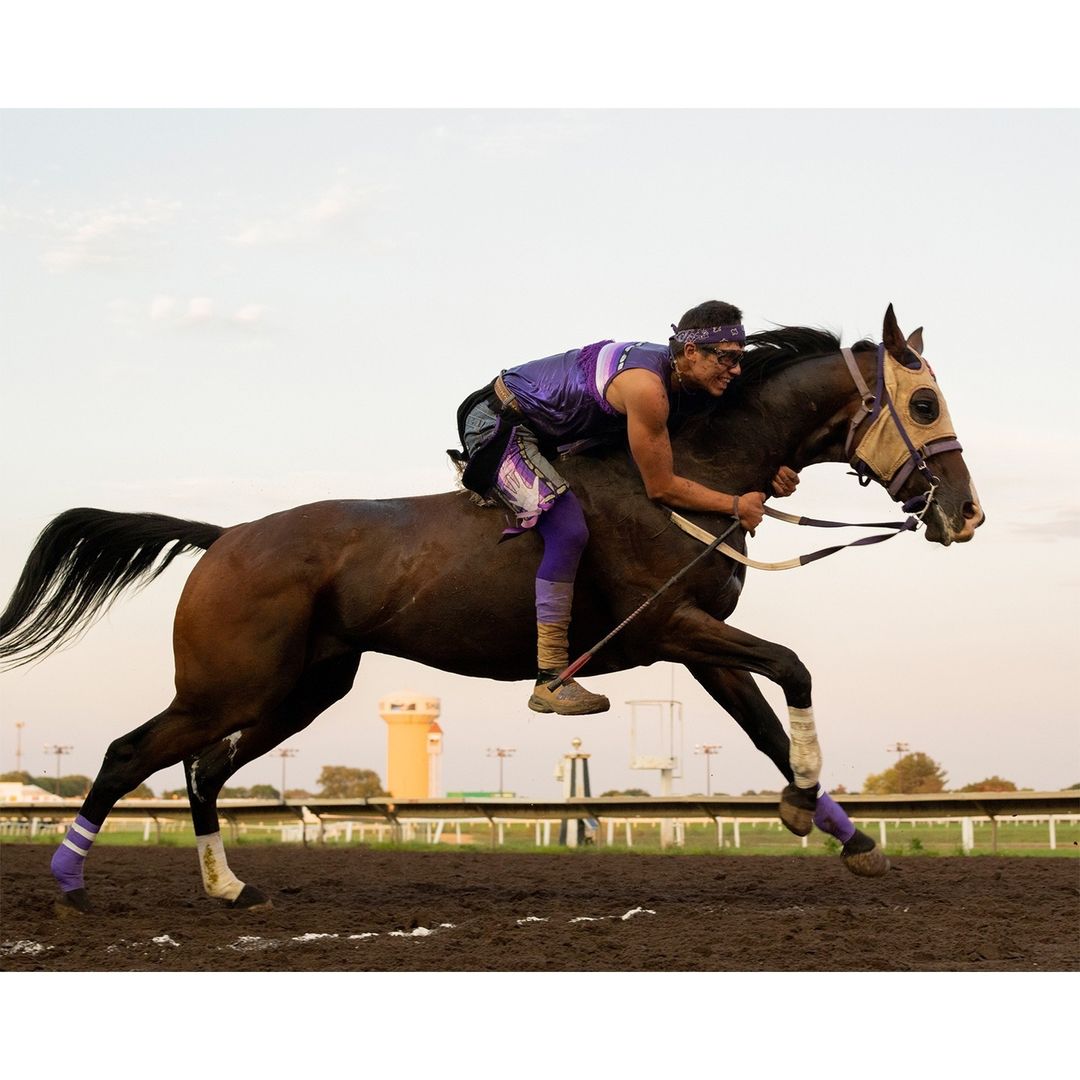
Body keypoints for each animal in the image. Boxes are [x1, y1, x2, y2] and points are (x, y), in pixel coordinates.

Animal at [0, 305, 984, 914]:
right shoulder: (669, 627)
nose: (966, 513)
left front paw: (842, 830)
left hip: (300, 689)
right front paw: (810, 806)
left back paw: (226, 887)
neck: (691, 463)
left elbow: (771, 728)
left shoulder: (699, 647)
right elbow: (793, 666)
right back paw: (68, 878)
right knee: (130, 753)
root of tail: (227, 535)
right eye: (924, 399)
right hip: (229, 684)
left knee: (203, 771)